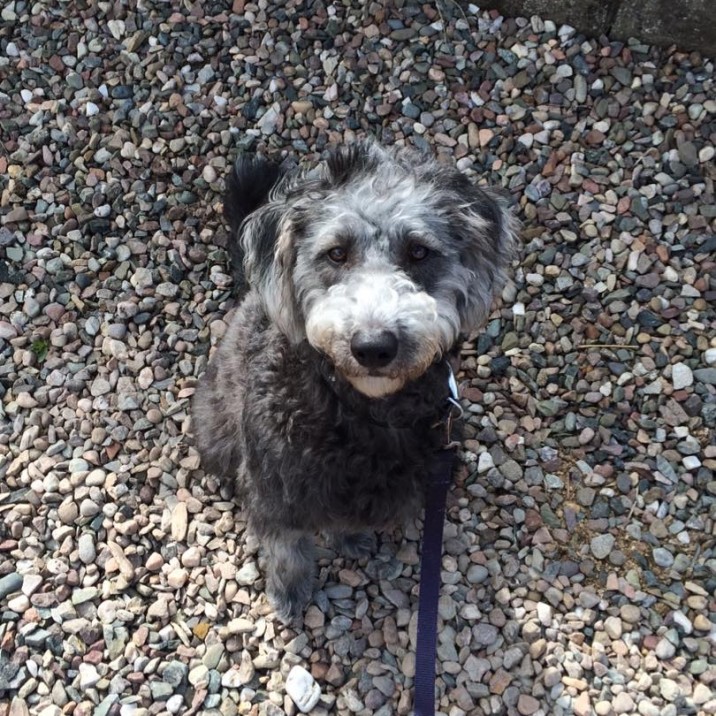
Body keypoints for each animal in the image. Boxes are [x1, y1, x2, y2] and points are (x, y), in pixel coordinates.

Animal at [190, 141, 516, 620]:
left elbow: (344, 520)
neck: (361, 412)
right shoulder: (274, 487)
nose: (374, 347)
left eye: (419, 252)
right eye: (337, 253)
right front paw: (290, 591)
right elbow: (286, 548)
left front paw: (350, 538)